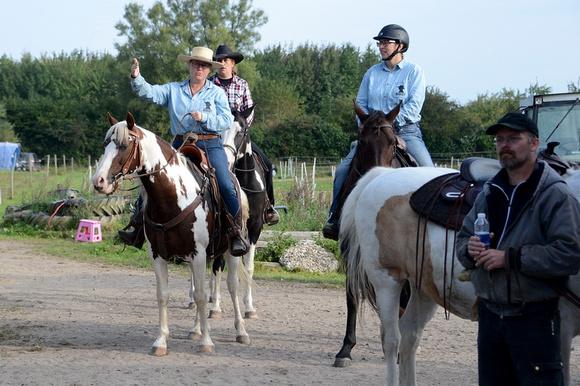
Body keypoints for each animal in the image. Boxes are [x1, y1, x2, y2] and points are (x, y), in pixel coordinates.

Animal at [92, 112, 250, 356]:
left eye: (124, 145)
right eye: (105, 144)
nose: (98, 181)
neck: (172, 197)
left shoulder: (198, 254)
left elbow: (202, 296)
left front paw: (207, 342)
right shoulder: (158, 256)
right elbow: (164, 296)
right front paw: (161, 341)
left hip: (231, 251)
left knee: (232, 285)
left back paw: (240, 331)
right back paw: (196, 329)